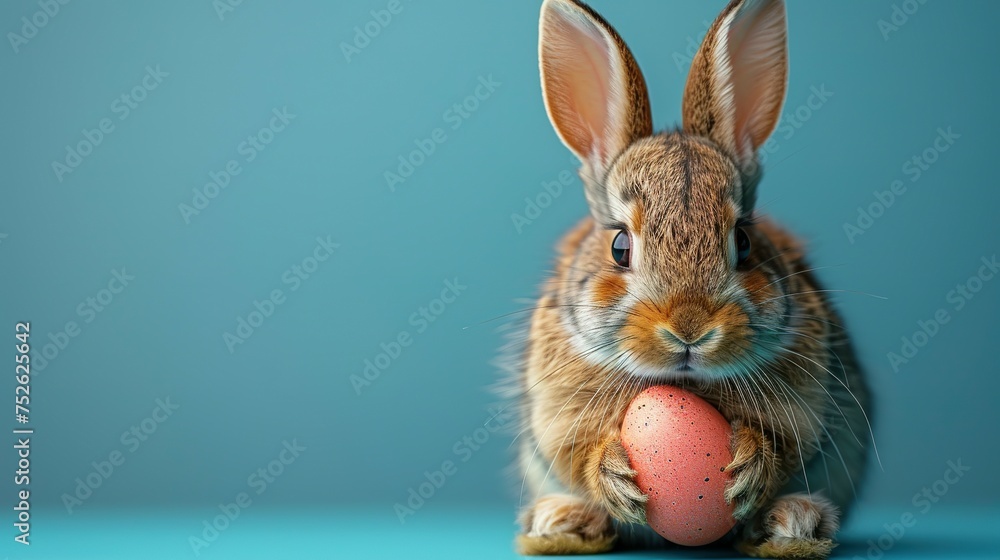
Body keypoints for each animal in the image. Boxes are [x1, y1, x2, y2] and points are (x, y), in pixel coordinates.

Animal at [508, 0, 875, 558]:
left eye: (743, 241)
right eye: (620, 246)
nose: (689, 328)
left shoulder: (807, 412)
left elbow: (784, 446)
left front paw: (749, 466)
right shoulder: (557, 418)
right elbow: (577, 452)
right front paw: (613, 478)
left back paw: (793, 523)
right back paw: (562, 522)